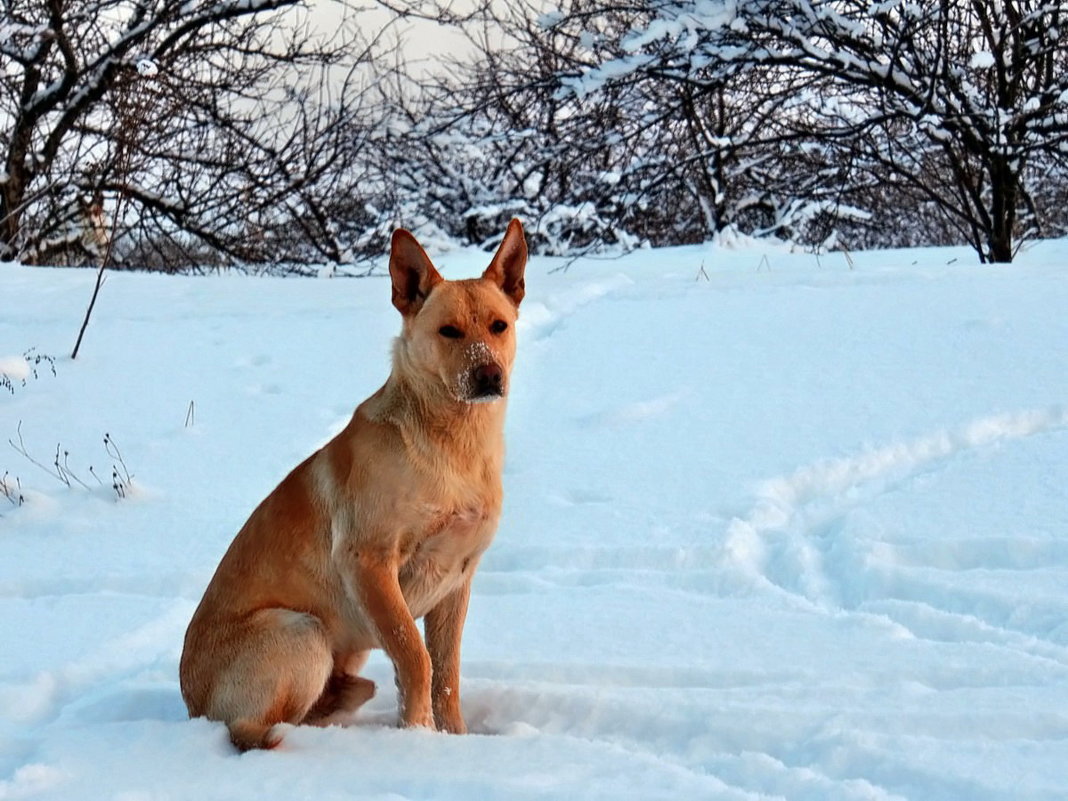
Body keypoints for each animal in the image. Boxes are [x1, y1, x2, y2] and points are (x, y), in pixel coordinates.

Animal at [181, 217, 527, 751]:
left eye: (499, 326)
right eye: (448, 331)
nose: (488, 375)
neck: (452, 446)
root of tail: (191, 704)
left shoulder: (457, 579)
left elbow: (446, 675)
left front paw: (453, 738)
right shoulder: (368, 562)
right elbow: (416, 658)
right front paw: (419, 738)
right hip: (302, 631)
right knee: (249, 730)